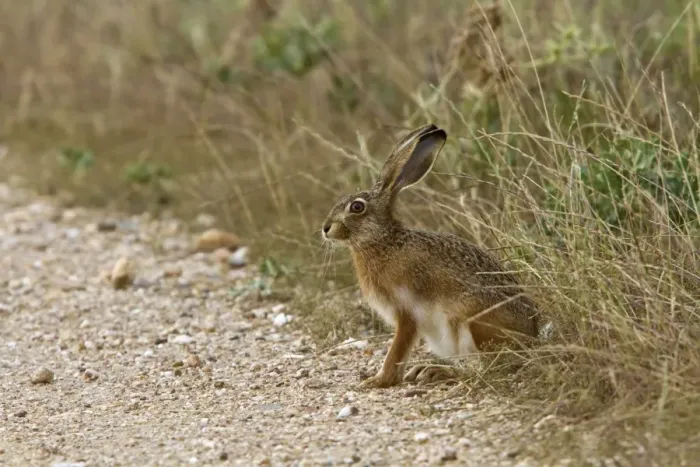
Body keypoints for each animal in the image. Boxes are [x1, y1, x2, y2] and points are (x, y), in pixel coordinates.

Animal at [321, 123, 540, 388]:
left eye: (357, 207)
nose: (325, 228)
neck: (383, 241)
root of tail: (534, 337)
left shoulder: (406, 311)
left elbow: (397, 350)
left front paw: (377, 380)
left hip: (471, 323)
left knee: (490, 368)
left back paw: (438, 371)